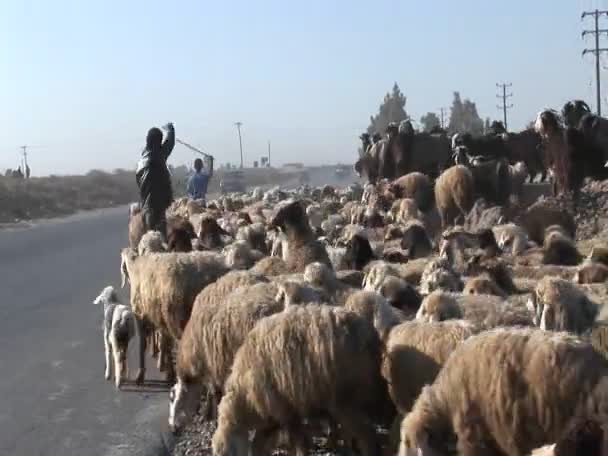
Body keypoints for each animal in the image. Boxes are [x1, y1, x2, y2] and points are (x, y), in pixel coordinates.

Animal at [120, 248, 229, 382]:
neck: (136, 267)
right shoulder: (162, 319)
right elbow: (165, 344)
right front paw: (168, 372)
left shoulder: (140, 315)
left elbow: (143, 344)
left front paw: (141, 374)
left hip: (178, 318)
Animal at [209, 304, 390, 456]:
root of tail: (370, 334)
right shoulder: (275, 415)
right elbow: (258, 445)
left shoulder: (286, 410)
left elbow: (297, 441)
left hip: (346, 399)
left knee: (367, 435)